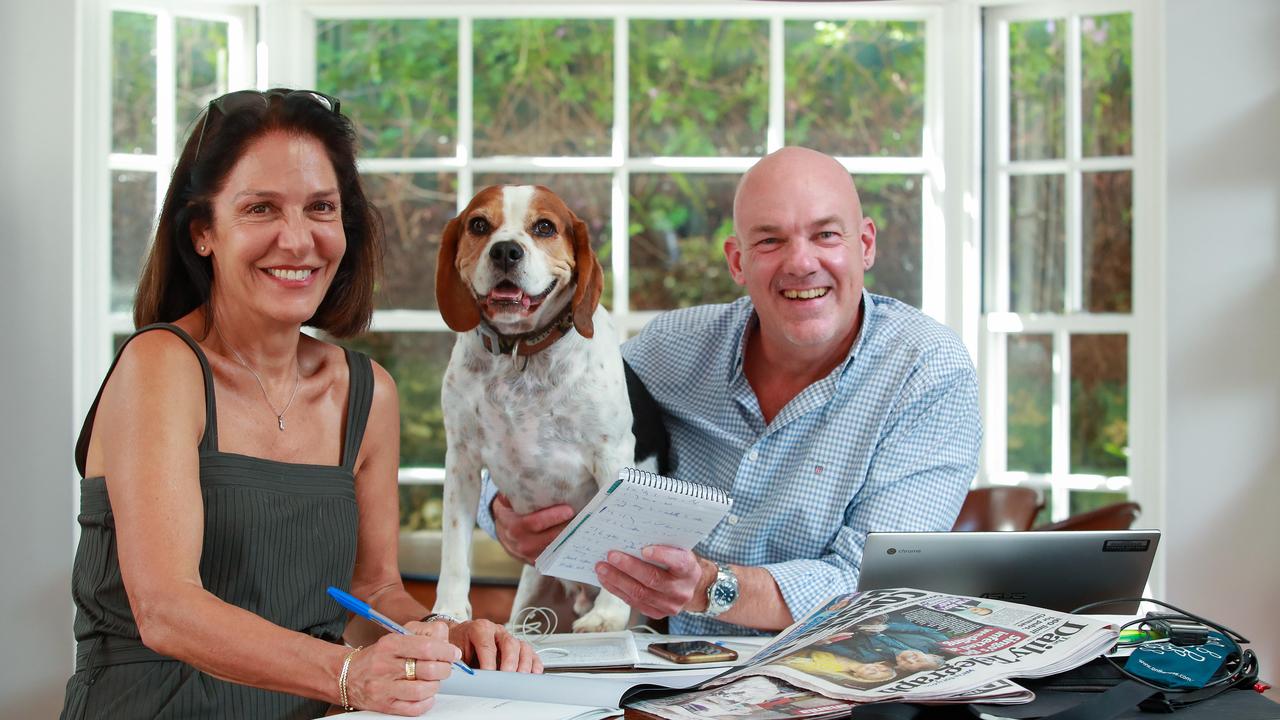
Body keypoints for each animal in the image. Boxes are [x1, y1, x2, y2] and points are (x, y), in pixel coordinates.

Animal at [435, 183, 634, 627]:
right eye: (478, 225)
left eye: (545, 227)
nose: (506, 251)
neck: (519, 350)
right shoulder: (462, 459)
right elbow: (454, 549)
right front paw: (449, 613)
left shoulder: (612, 456)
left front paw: (608, 617)